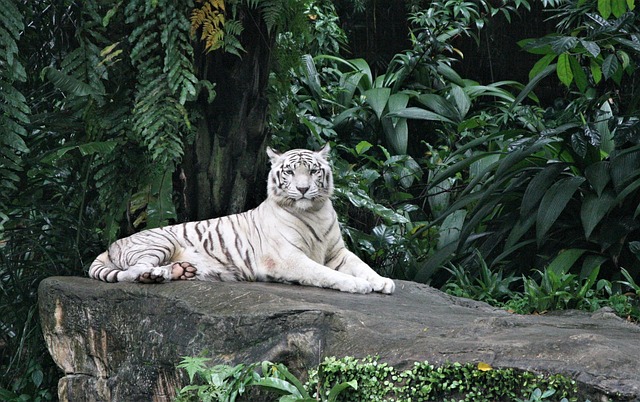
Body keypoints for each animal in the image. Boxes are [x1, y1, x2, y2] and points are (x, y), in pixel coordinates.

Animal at [86, 145, 396, 296]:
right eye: (290, 172)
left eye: (313, 171)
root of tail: (110, 246)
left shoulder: (337, 252)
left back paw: (179, 271)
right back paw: (157, 274)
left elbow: (362, 266)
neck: (313, 211)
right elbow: (325, 274)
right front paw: (357, 286)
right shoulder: (290, 258)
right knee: (132, 273)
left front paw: (383, 282)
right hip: (158, 242)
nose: (304, 189)